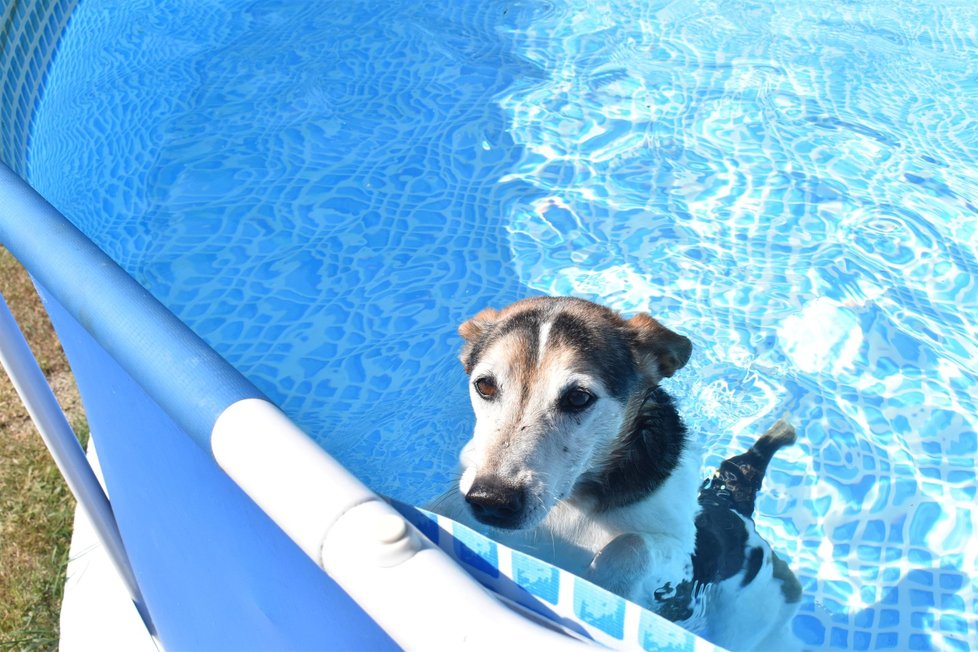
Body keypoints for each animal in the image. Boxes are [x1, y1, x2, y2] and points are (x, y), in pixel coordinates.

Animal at [434, 298, 800, 648]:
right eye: (484, 386)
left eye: (578, 397)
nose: (492, 500)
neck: (570, 502)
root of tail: (737, 508)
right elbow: (448, 505)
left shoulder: (681, 556)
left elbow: (631, 545)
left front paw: (605, 594)